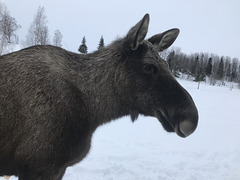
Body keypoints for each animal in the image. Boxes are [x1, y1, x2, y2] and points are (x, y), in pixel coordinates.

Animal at [0, 14, 199, 180]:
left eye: (167, 64)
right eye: (149, 67)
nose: (191, 120)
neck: (94, 112)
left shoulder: (56, 168)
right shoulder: (39, 166)